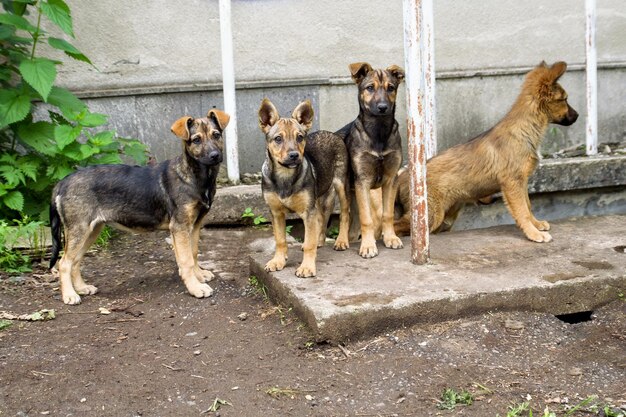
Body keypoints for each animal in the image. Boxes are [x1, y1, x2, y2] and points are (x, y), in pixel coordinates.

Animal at [48, 108, 229, 302]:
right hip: (79, 229)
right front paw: (196, 287)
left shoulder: (194, 225)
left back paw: (82, 288)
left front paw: (200, 275)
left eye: (216, 135)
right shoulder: (180, 227)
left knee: (75, 261)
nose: (215, 156)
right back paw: (70, 295)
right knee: (64, 263)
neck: (195, 176)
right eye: (196, 140)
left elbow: (193, 252)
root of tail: (62, 182)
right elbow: (186, 259)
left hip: (92, 230)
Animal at [256, 98, 348, 276]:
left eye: (299, 137)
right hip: (319, 198)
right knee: (321, 218)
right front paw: (278, 261)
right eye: (278, 139)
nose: (294, 155)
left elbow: (309, 242)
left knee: (344, 214)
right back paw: (319, 240)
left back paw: (341, 241)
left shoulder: (307, 211)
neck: (285, 176)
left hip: (340, 185)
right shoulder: (276, 212)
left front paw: (307, 267)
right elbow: (280, 240)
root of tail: (334, 133)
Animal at [336, 61, 404, 256]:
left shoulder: (391, 180)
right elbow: (367, 219)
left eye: (391, 88)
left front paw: (390, 238)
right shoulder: (363, 181)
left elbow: (387, 214)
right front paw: (367, 246)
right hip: (343, 189)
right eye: (370, 88)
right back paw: (341, 241)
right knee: (344, 215)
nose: (383, 107)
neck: (379, 132)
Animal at [392, 61, 576, 240]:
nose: (578, 116)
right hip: (430, 215)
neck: (525, 129)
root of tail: (401, 177)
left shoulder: (521, 182)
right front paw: (534, 234)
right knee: (394, 225)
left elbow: (528, 205)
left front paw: (536, 224)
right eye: (565, 99)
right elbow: (522, 211)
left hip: (446, 216)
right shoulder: (512, 183)